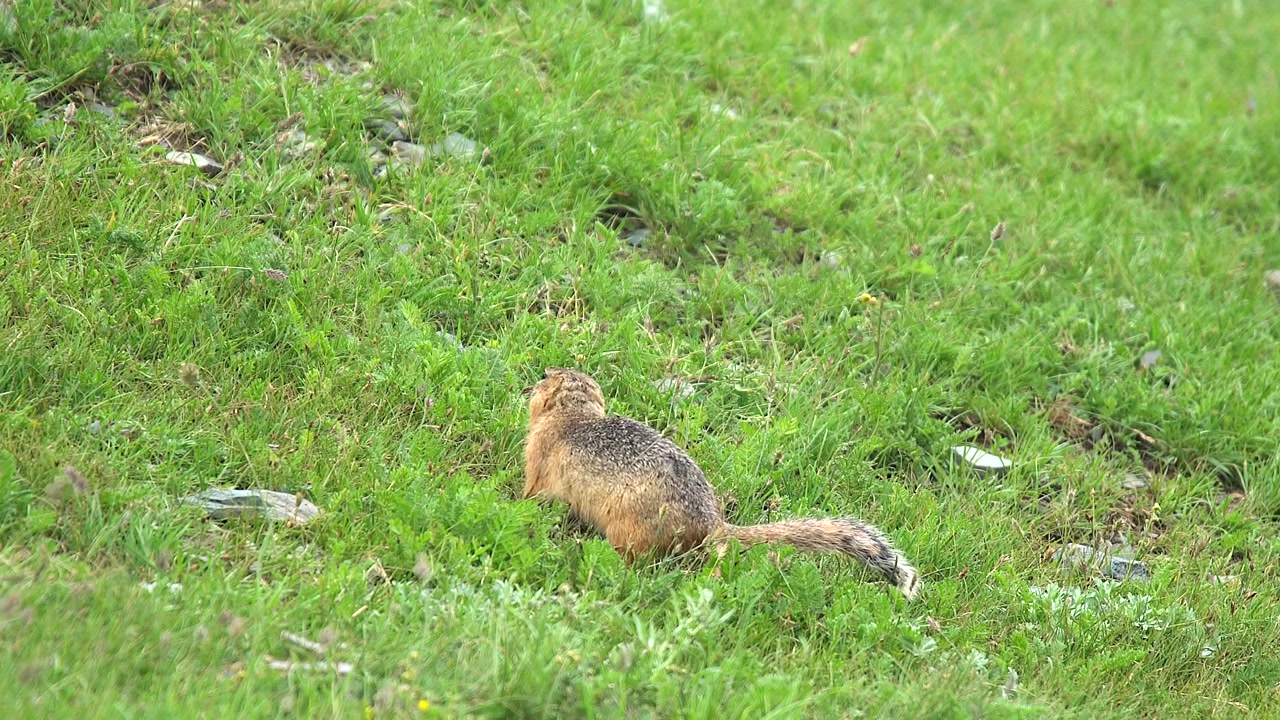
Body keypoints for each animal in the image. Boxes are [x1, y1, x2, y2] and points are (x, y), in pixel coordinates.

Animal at [522, 367, 921, 600]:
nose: (538, 375)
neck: (573, 416)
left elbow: (532, 492)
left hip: (627, 530)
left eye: (545, 374)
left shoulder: (538, 461)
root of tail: (712, 526)